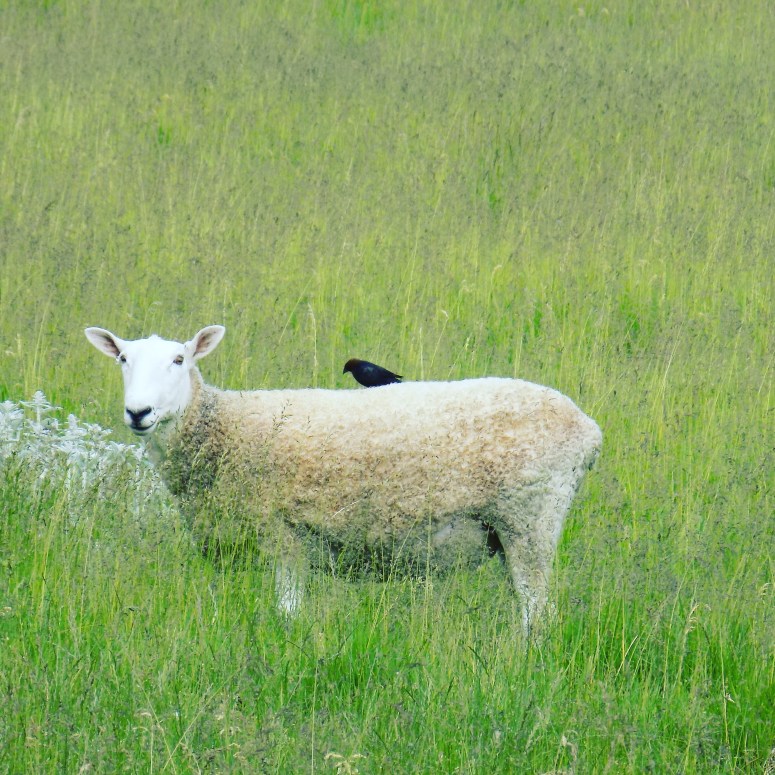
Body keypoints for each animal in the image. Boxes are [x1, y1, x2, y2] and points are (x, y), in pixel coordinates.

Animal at [84, 324, 602, 633]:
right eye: (123, 360)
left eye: (179, 360)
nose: (138, 413)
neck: (223, 429)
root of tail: (588, 429)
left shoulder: (283, 539)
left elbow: (287, 612)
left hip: (530, 520)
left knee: (538, 613)